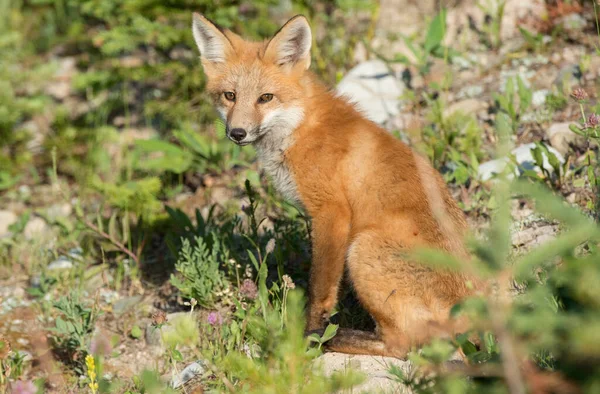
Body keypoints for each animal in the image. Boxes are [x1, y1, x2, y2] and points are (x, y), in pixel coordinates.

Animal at [192, 13, 482, 358]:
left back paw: (330, 338)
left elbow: (320, 290)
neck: (299, 126)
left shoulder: (331, 212)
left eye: (265, 98)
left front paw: (307, 334)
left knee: (402, 345)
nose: (237, 133)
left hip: (360, 250)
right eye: (230, 95)